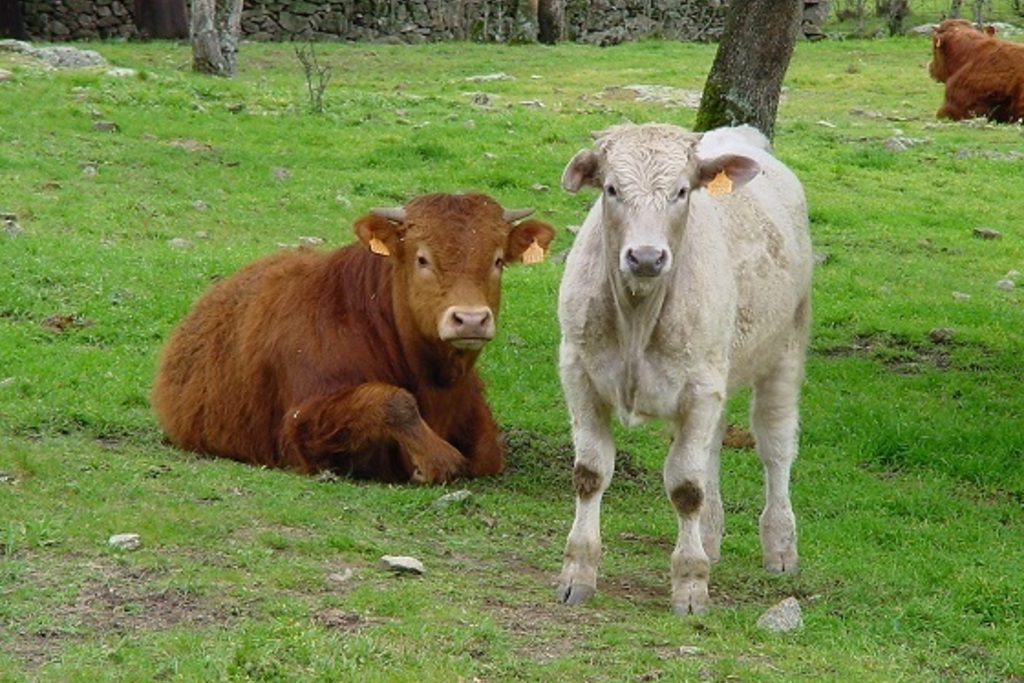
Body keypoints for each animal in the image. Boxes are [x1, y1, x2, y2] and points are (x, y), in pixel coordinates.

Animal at [150, 191, 552, 481]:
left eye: (497, 260)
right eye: (422, 258)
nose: (470, 319)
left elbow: (487, 452)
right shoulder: (300, 423)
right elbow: (395, 401)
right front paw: (432, 460)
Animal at [557, 124, 811, 618]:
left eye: (680, 191)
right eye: (612, 189)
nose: (645, 257)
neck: (637, 315)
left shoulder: (700, 388)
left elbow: (685, 487)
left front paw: (690, 584)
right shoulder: (578, 373)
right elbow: (590, 472)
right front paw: (577, 573)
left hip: (785, 350)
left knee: (775, 448)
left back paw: (779, 546)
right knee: (710, 450)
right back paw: (710, 538)